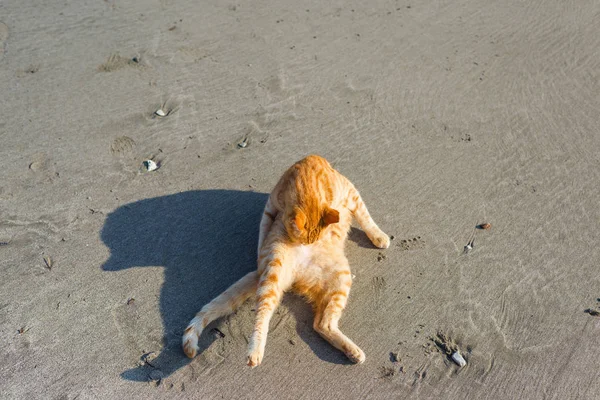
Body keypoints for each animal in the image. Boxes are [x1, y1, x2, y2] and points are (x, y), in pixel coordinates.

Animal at [182, 155, 390, 368]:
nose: (307, 244)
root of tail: (298, 274)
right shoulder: (350, 192)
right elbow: (365, 216)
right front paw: (380, 237)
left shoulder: (350, 193)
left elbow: (365, 217)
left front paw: (378, 236)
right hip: (274, 272)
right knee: (264, 313)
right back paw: (255, 350)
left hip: (340, 278)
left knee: (321, 324)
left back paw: (352, 351)